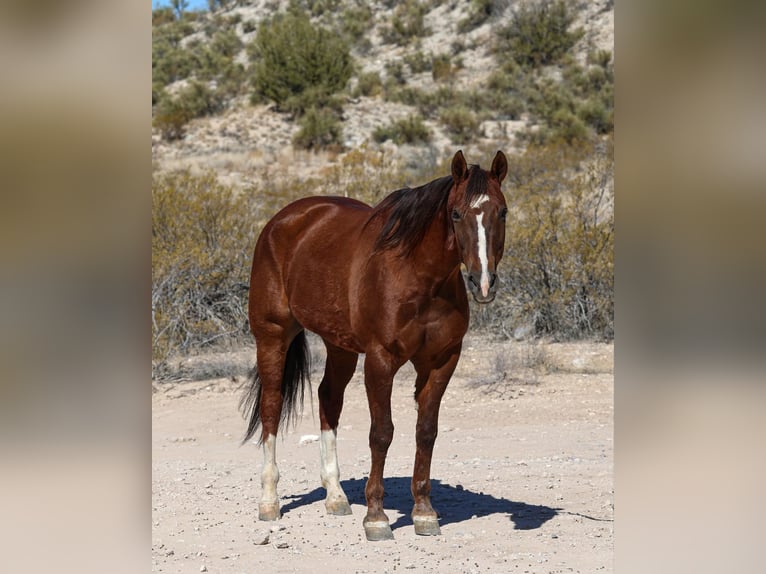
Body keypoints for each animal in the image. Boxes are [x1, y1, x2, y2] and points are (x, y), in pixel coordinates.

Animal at [241, 150, 508, 541]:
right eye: (456, 214)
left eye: (502, 211)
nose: (483, 282)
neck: (420, 277)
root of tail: (283, 220)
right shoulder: (381, 360)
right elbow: (381, 434)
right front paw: (377, 518)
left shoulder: (441, 361)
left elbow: (426, 432)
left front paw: (424, 513)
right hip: (273, 336)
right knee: (272, 407)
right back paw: (269, 501)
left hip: (340, 347)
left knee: (328, 399)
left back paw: (336, 497)